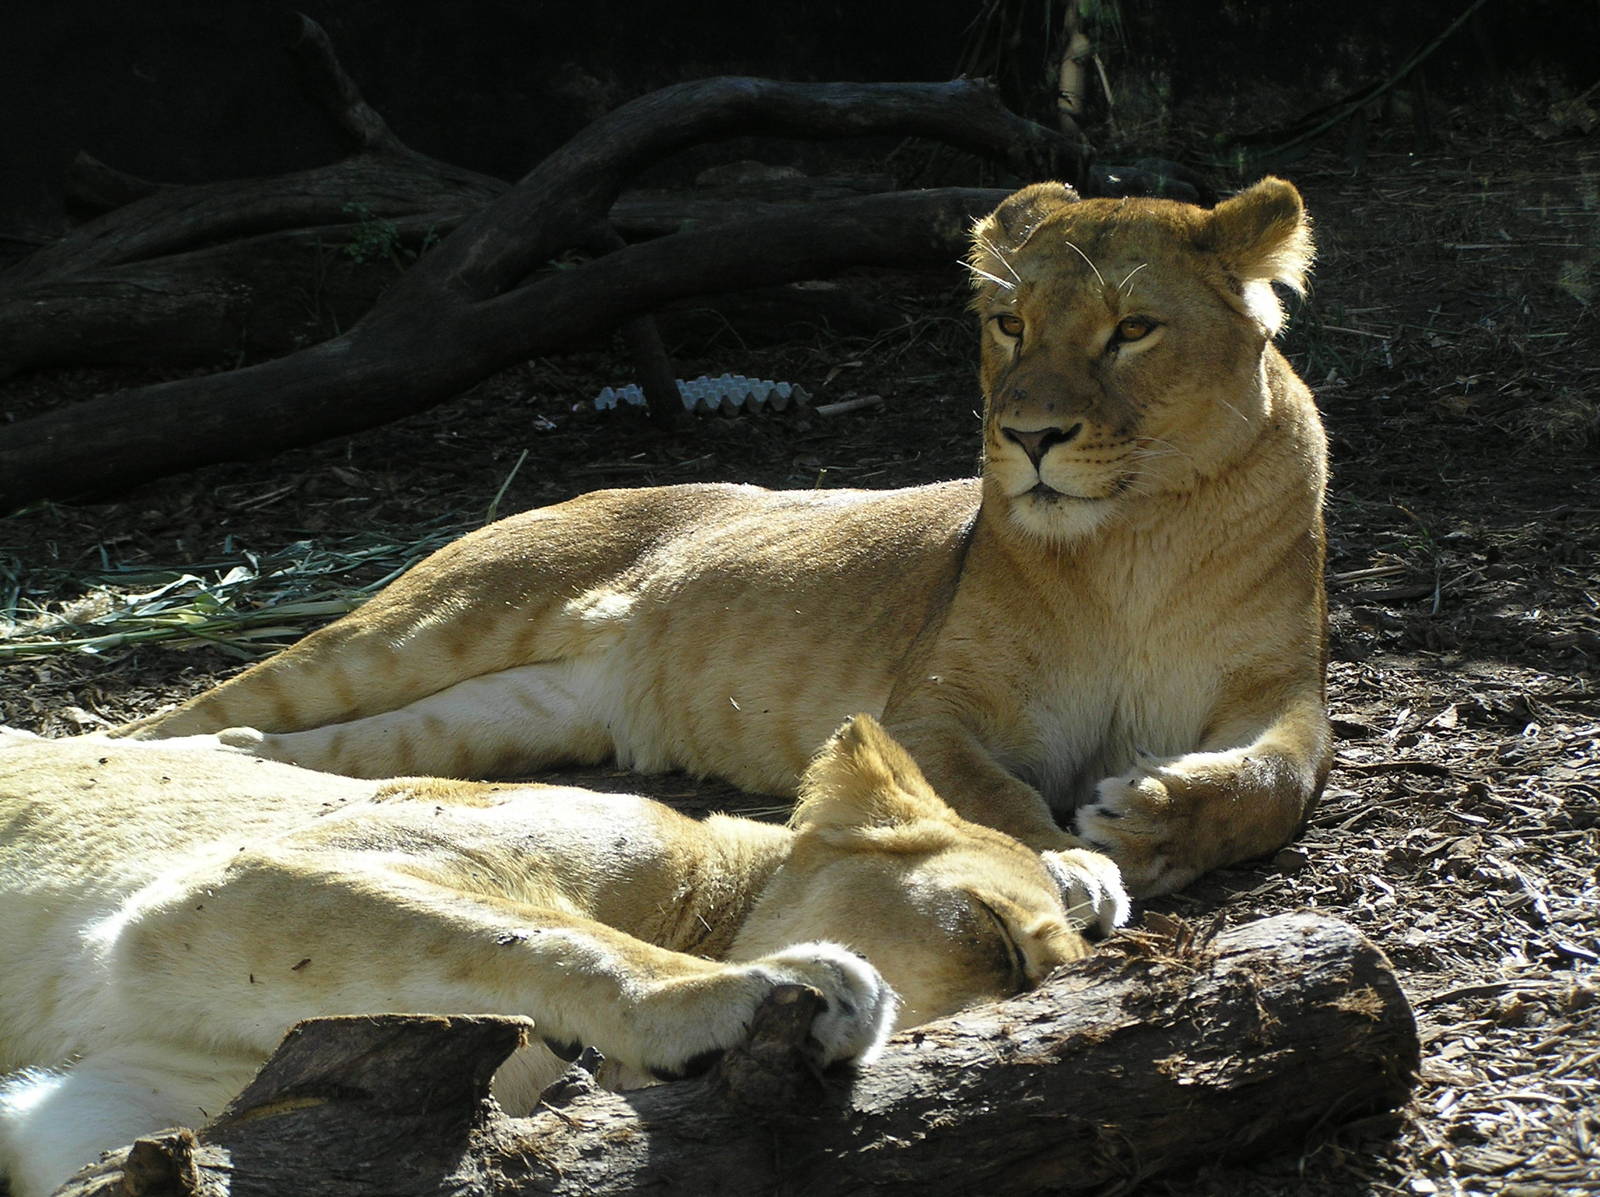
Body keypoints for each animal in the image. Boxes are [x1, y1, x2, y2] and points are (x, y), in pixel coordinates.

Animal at [120, 176, 1330, 897]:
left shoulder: (1279, 691)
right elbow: (982, 795)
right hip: (433, 620)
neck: (1134, 541)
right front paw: (1067, 862)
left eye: (1132, 330)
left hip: (502, 713)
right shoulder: (926, 709)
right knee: (186, 713)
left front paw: (1161, 817)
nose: (1026, 435)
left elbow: (1280, 778)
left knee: (320, 746)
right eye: (1008, 323)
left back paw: (247, 770)